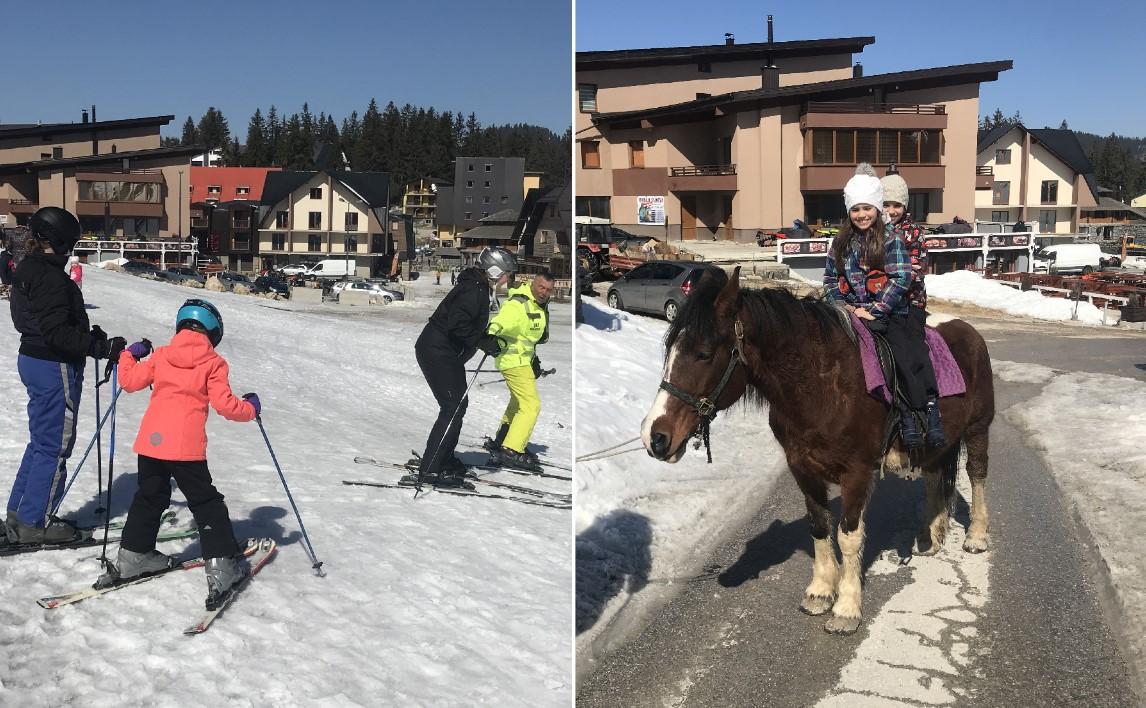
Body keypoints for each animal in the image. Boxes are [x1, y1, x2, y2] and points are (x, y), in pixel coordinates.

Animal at [641, 266, 990, 632]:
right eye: (670, 349)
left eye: (704, 354)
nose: (655, 437)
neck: (821, 385)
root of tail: (970, 331)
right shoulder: (802, 467)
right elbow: (820, 527)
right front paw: (821, 592)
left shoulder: (857, 472)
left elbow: (849, 536)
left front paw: (847, 608)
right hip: (937, 443)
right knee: (935, 476)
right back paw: (929, 537)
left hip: (978, 428)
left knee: (977, 475)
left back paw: (976, 537)